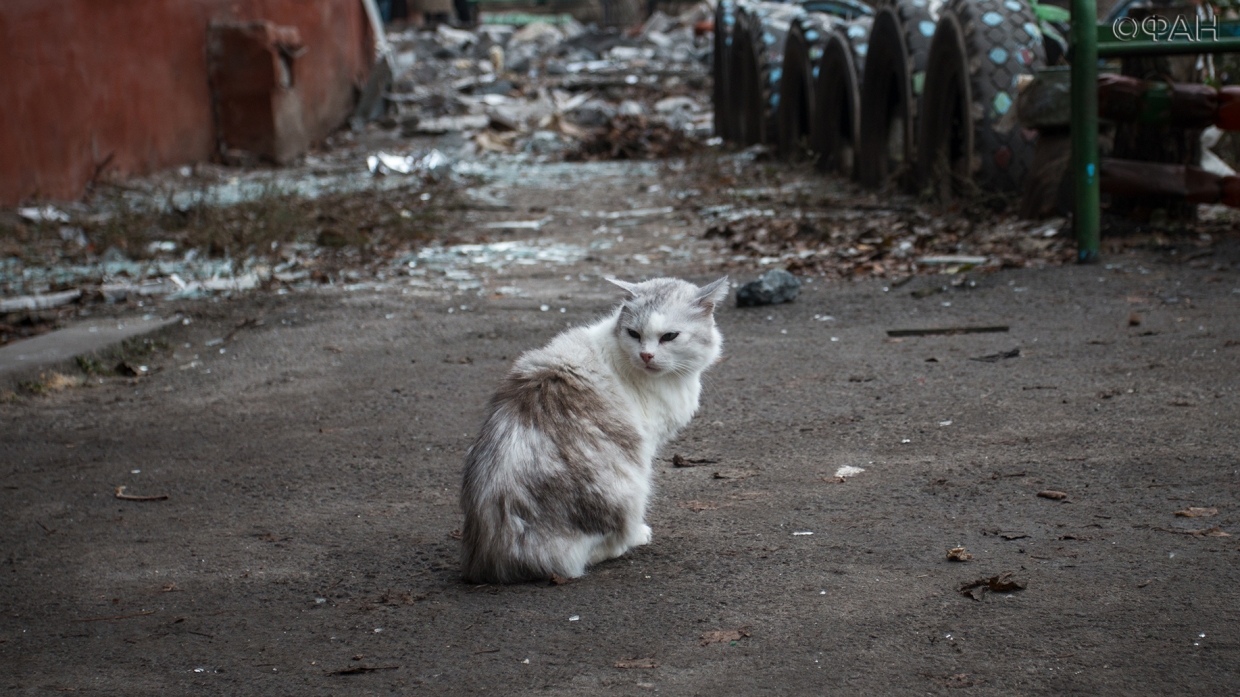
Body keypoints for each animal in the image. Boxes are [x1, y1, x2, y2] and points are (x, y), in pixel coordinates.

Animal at [461, 276, 729, 580]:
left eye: (669, 336)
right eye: (634, 334)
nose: (646, 355)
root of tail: (496, 558)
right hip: (633, 486)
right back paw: (631, 539)